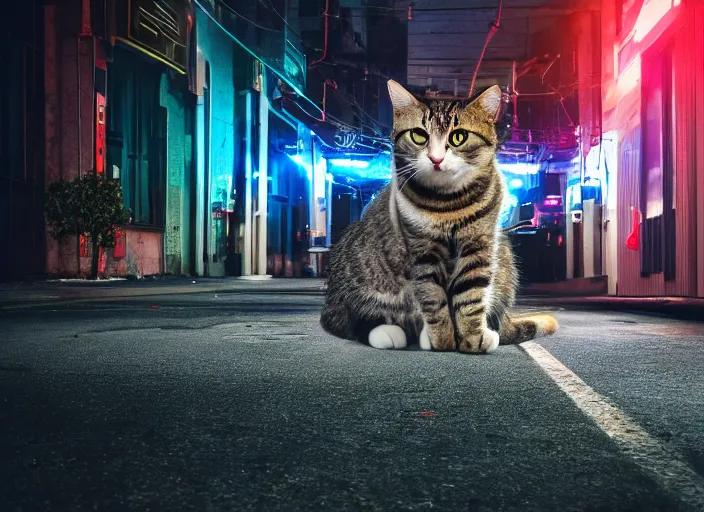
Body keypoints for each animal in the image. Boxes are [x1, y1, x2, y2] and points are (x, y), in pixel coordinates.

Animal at [322, 81, 560, 352]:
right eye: (419, 135)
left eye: (459, 137)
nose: (436, 158)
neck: (450, 203)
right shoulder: (421, 250)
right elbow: (431, 296)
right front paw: (441, 338)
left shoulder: (480, 245)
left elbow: (471, 294)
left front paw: (472, 336)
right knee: (346, 317)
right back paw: (389, 331)